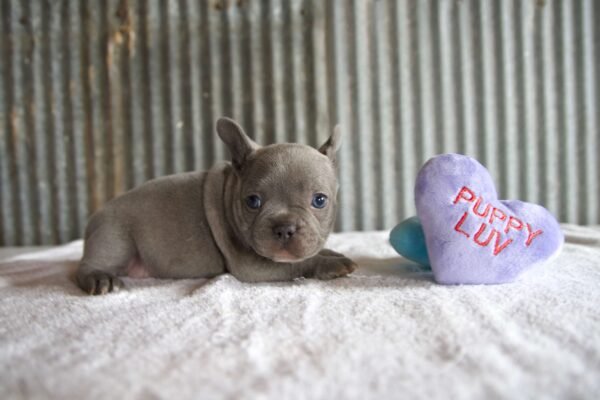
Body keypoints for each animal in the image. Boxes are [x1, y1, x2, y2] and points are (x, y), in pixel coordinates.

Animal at [75, 117, 356, 296]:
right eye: (253, 201)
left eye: (319, 200)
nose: (284, 228)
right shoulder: (252, 266)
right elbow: (296, 265)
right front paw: (330, 265)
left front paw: (333, 254)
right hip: (115, 237)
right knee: (86, 267)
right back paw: (100, 278)